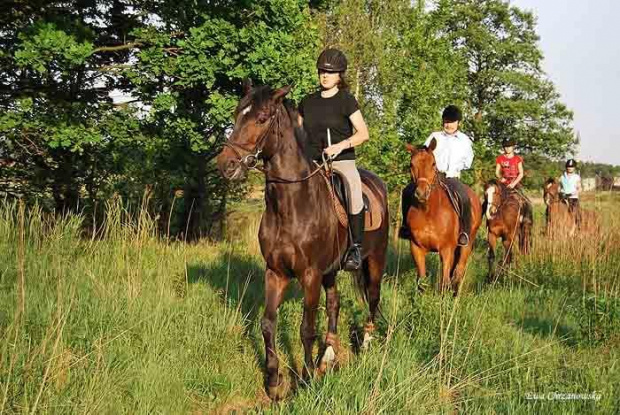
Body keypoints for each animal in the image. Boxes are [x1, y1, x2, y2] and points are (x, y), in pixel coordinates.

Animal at [213, 83, 388, 400]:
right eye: (237, 114)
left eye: (262, 118)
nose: (226, 165)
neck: (291, 206)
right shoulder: (276, 273)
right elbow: (268, 324)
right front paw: (273, 380)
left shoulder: (310, 275)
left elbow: (306, 328)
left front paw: (305, 379)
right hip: (331, 271)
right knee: (335, 303)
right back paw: (328, 355)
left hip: (375, 260)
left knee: (372, 297)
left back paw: (366, 344)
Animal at [402, 141, 484, 296]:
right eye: (411, 164)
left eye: (433, 163)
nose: (421, 193)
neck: (428, 211)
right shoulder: (416, 248)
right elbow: (422, 282)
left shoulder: (446, 249)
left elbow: (444, 283)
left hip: (467, 244)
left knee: (458, 273)